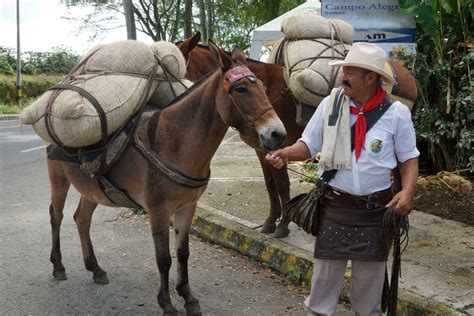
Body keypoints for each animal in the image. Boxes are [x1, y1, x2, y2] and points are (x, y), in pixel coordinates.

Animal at [47, 40, 286, 314]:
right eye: (241, 89)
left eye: (264, 87)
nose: (278, 134)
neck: (173, 143)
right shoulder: (158, 211)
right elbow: (163, 259)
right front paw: (167, 303)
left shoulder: (187, 207)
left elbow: (182, 253)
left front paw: (188, 296)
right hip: (59, 181)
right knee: (56, 217)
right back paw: (58, 266)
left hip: (92, 189)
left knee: (81, 219)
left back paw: (95, 268)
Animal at [176, 32, 416, 239]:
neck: (267, 92)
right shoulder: (263, 150)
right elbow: (270, 185)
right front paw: (271, 221)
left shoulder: (278, 145)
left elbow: (282, 185)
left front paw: (282, 225)